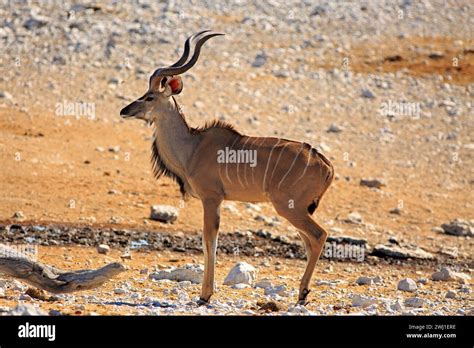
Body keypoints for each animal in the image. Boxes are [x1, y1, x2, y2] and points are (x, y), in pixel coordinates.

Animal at [119, 30, 334, 304]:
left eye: (149, 96)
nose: (124, 110)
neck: (193, 146)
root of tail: (325, 164)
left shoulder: (211, 198)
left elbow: (209, 241)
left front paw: (205, 295)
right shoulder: (217, 200)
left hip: (289, 207)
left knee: (318, 236)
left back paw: (303, 293)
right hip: (297, 209)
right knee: (309, 240)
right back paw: (302, 293)